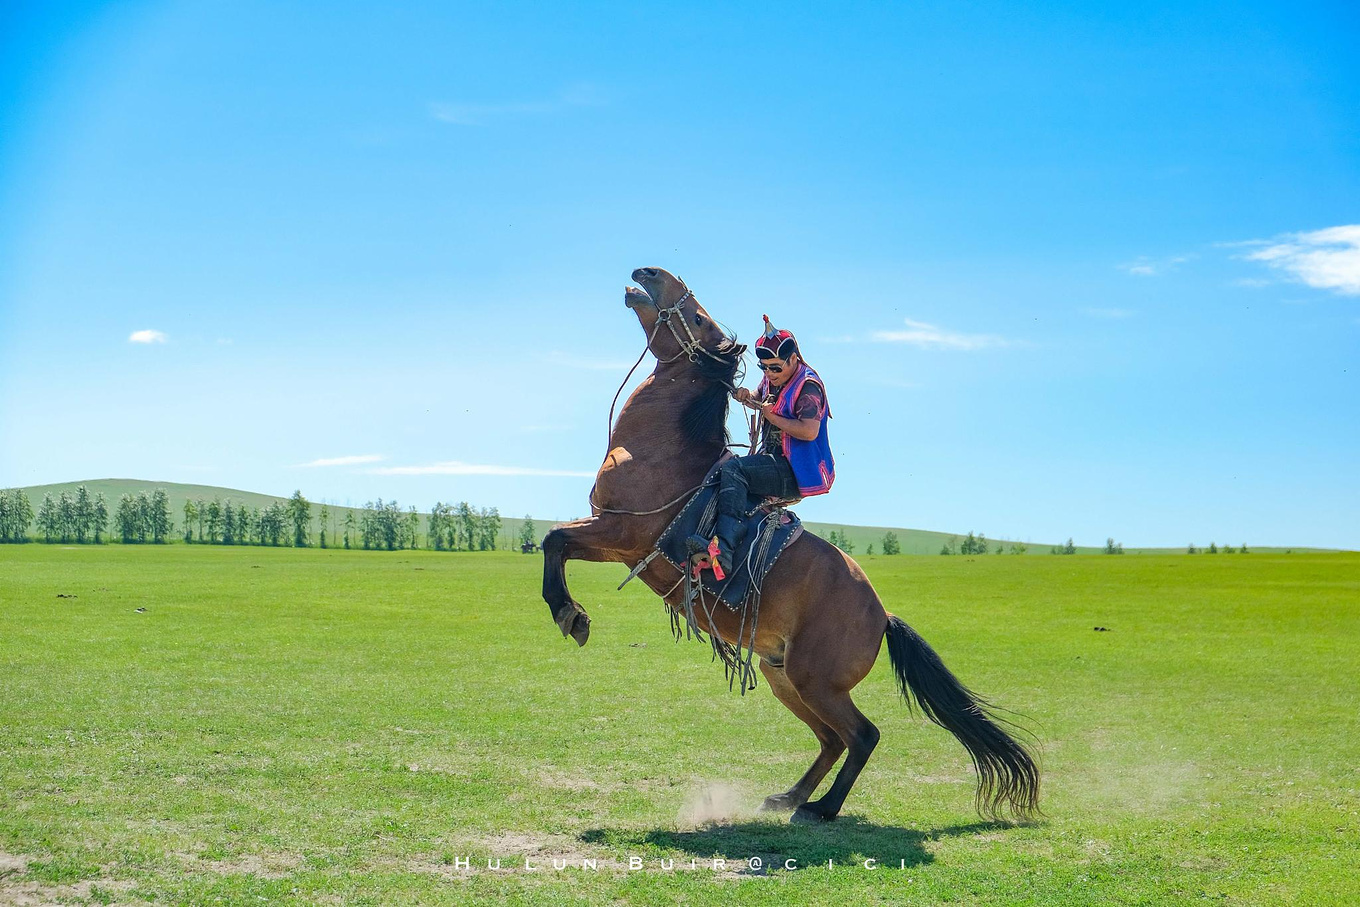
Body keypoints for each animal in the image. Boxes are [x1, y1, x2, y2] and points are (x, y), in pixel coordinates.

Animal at [541, 267, 1039, 821]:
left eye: (699, 319)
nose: (647, 273)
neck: (666, 452)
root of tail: (882, 615)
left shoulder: (622, 533)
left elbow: (552, 539)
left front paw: (570, 614)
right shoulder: (615, 540)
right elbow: (557, 543)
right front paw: (572, 614)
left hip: (814, 680)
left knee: (862, 735)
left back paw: (821, 808)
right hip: (781, 672)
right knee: (833, 739)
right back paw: (790, 796)